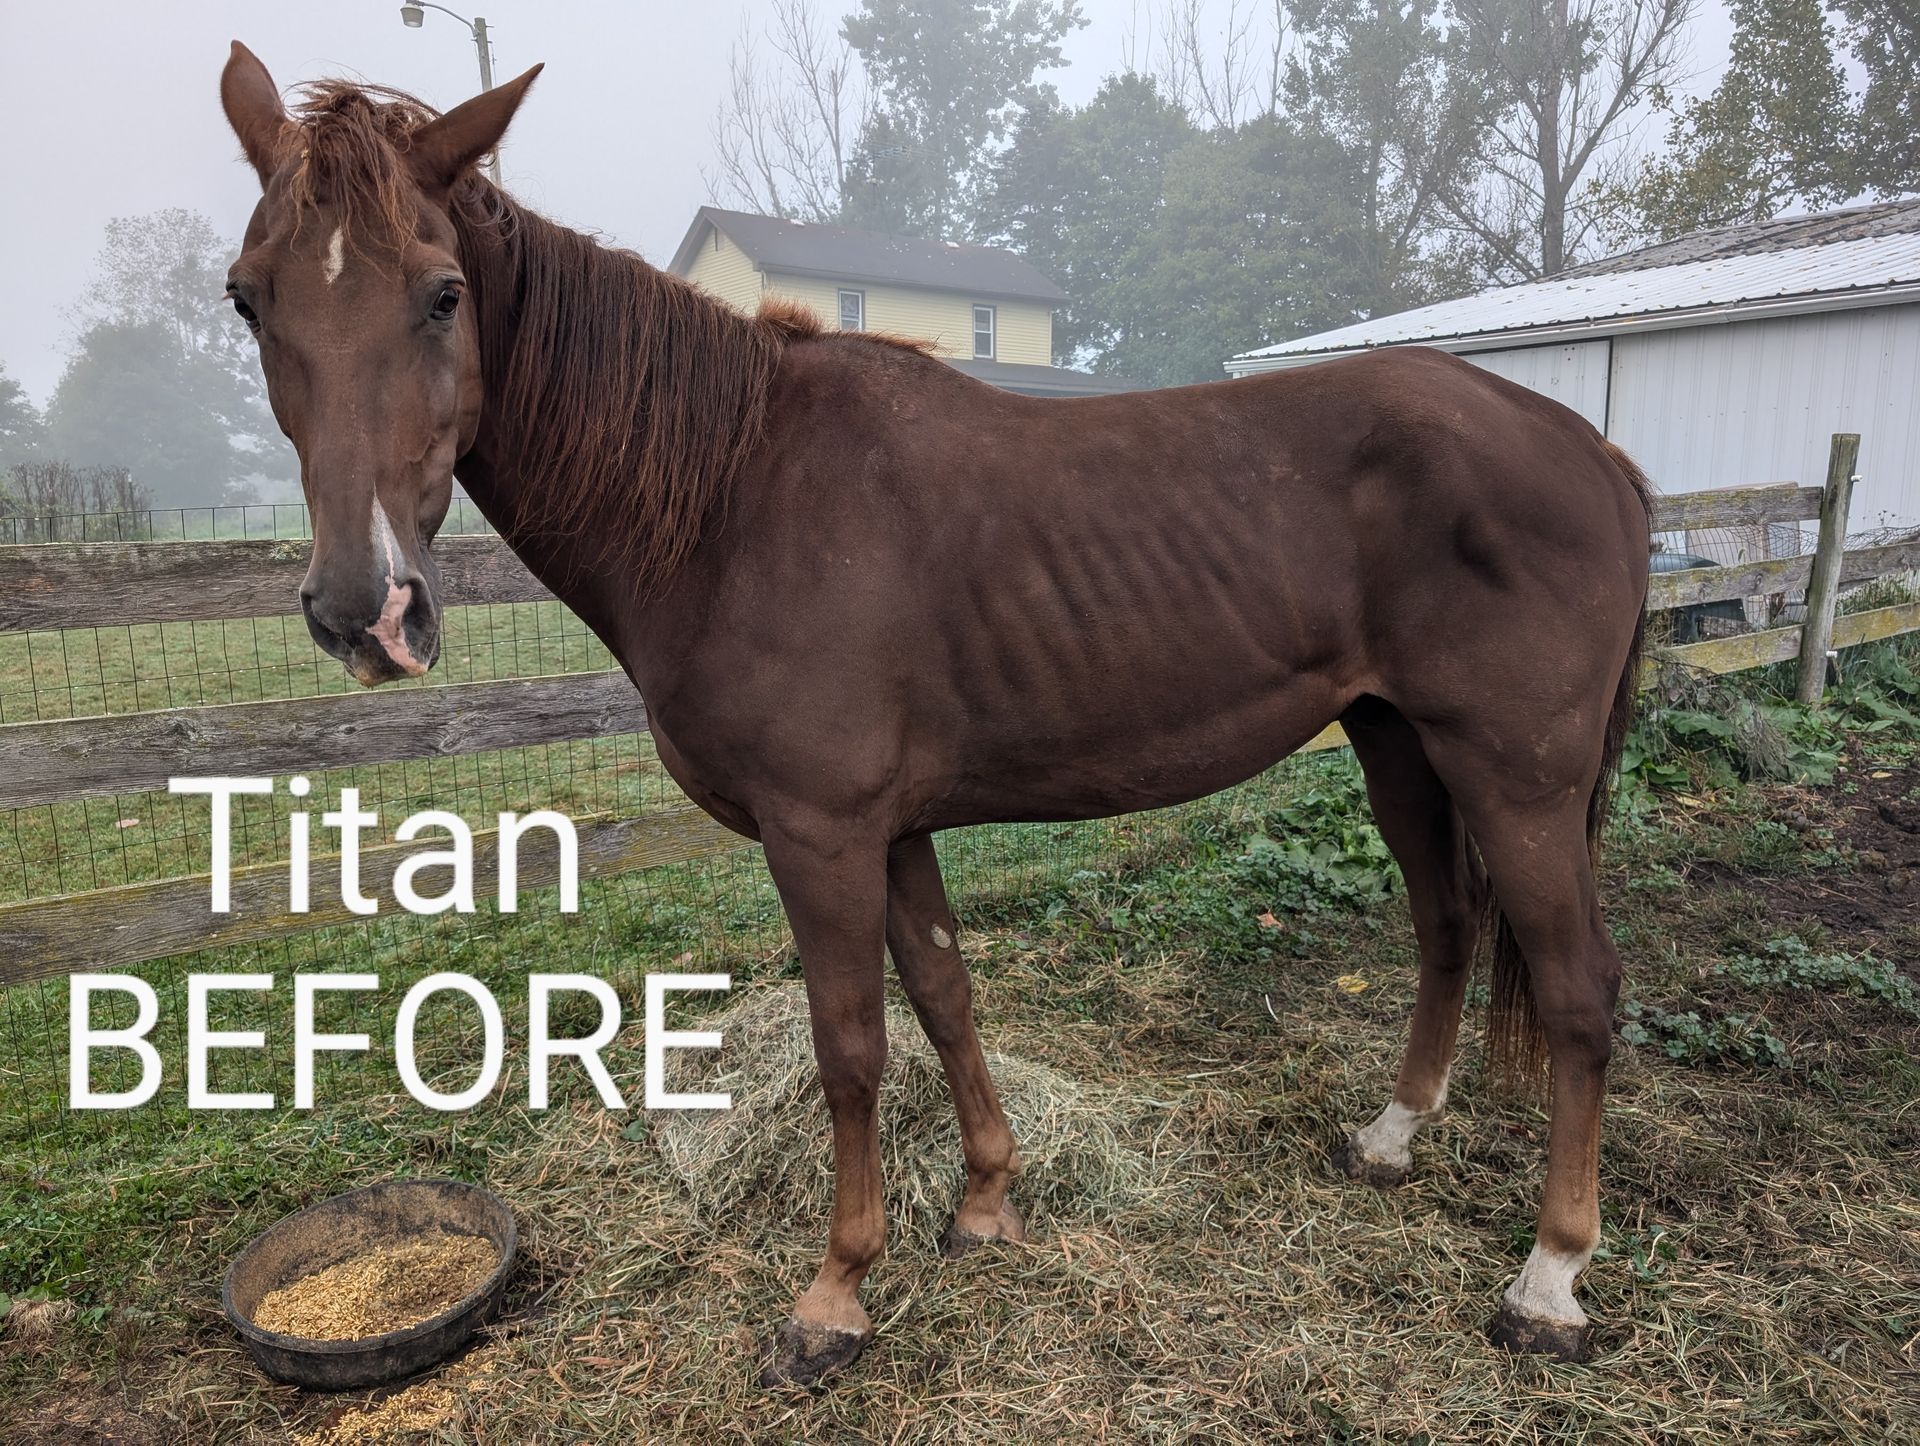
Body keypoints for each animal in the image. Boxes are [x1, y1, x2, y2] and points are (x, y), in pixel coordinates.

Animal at [217, 43, 1651, 1386]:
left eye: (443, 291)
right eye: (248, 297)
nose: (363, 608)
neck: (732, 495)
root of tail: (1589, 449)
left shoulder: (822, 832)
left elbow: (853, 1046)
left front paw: (835, 1295)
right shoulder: (895, 829)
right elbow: (947, 995)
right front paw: (987, 1202)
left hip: (1517, 777)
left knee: (1580, 988)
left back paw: (1550, 1277)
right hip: (1399, 744)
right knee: (1444, 926)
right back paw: (1392, 1139)